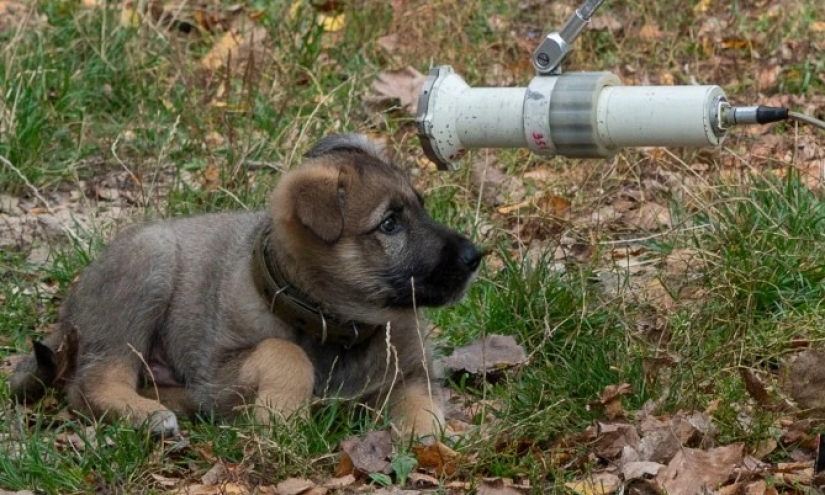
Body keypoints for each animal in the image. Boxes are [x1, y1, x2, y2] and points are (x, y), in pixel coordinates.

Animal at [9, 134, 480, 440]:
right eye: (390, 223)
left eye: (421, 208)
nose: (475, 257)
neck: (336, 326)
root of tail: (70, 306)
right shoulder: (217, 370)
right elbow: (283, 352)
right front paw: (281, 418)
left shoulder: (414, 371)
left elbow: (423, 407)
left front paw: (429, 443)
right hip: (146, 267)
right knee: (90, 384)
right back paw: (148, 415)